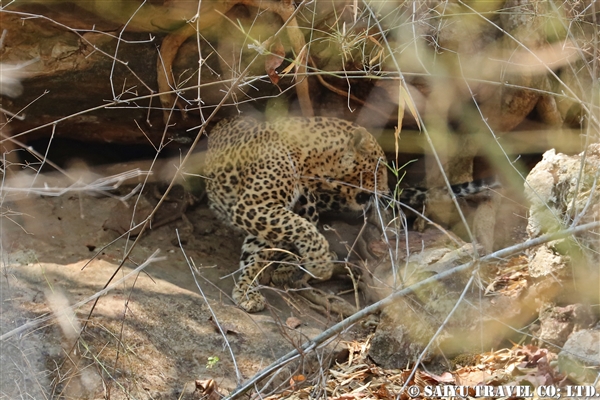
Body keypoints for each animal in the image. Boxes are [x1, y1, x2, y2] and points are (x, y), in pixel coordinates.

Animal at [204, 115, 390, 312]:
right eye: (380, 168)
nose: (387, 192)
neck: (313, 162)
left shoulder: (260, 213)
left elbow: (259, 253)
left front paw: (248, 288)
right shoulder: (253, 205)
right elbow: (300, 227)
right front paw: (321, 264)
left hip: (306, 201)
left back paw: (289, 266)